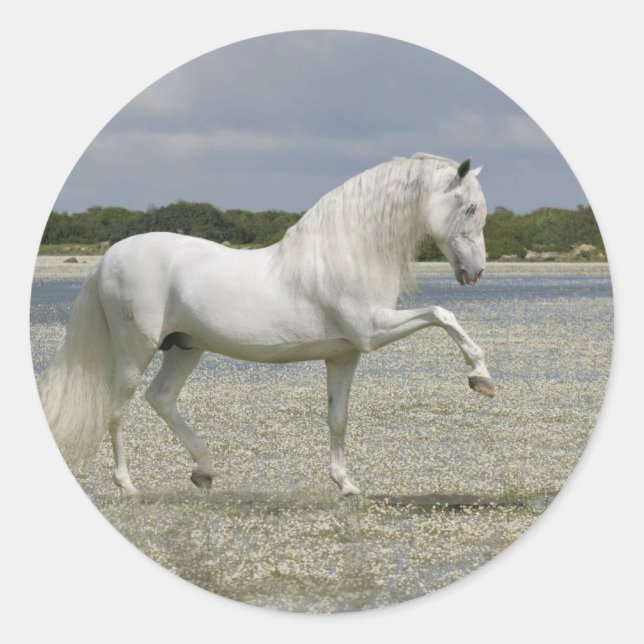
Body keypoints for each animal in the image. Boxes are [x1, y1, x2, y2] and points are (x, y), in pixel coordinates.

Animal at [39, 153, 495, 497]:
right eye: (470, 208)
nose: (475, 272)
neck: (346, 254)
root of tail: (107, 259)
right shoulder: (372, 331)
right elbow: (442, 314)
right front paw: (481, 377)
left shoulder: (345, 356)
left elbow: (338, 419)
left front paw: (346, 485)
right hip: (137, 350)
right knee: (117, 409)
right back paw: (128, 485)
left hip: (186, 347)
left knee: (161, 398)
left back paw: (204, 470)